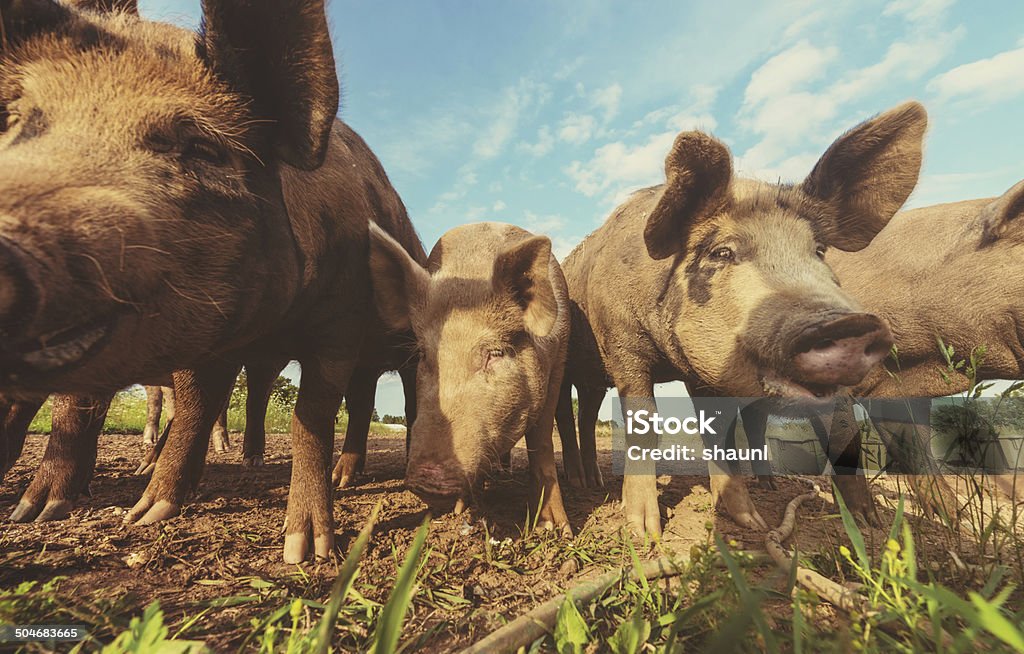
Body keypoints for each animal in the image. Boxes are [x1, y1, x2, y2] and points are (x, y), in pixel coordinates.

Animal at [0, 0, 419, 564]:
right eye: (17, 122)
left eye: (204, 148)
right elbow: (191, 404)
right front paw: (139, 513)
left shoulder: (341, 318)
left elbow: (312, 415)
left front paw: (304, 551)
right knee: (268, 393)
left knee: (390, 399)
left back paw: (371, 475)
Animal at [368, 223, 577, 536]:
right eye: (424, 354)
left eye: (495, 353)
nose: (427, 478)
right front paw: (459, 509)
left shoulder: (557, 365)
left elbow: (541, 443)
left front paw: (554, 529)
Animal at [557, 101, 933, 532]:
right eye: (721, 252)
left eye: (819, 250)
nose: (850, 324)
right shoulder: (621, 343)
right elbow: (644, 426)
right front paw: (643, 530)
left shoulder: (701, 372)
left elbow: (719, 432)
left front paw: (752, 522)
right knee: (567, 418)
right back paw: (583, 483)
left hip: (591, 378)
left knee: (587, 414)